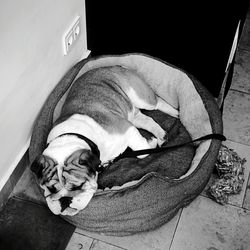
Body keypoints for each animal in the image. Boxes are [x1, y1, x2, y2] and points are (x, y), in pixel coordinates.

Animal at [31, 65, 179, 216]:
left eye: (79, 186)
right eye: (51, 189)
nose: (64, 199)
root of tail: (114, 66)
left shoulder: (126, 129)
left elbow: (142, 151)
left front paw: (150, 144)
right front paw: (152, 142)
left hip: (140, 98)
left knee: (157, 102)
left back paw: (175, 113)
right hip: (131, 113)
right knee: (146, 119)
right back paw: (161, 135)